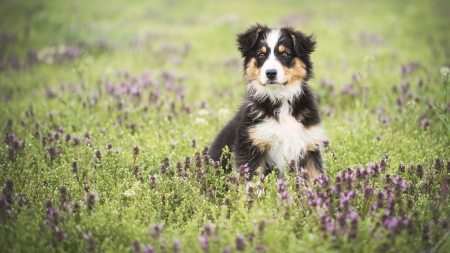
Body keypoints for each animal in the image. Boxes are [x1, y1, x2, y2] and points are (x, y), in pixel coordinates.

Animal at [209, 22, 326, 179]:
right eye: (261, 54)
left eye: (285, 54)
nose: (270, 73)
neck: (280, 99)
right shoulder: (251, 146)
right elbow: (251, 180)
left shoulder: (309, 146)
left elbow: (317, 176)